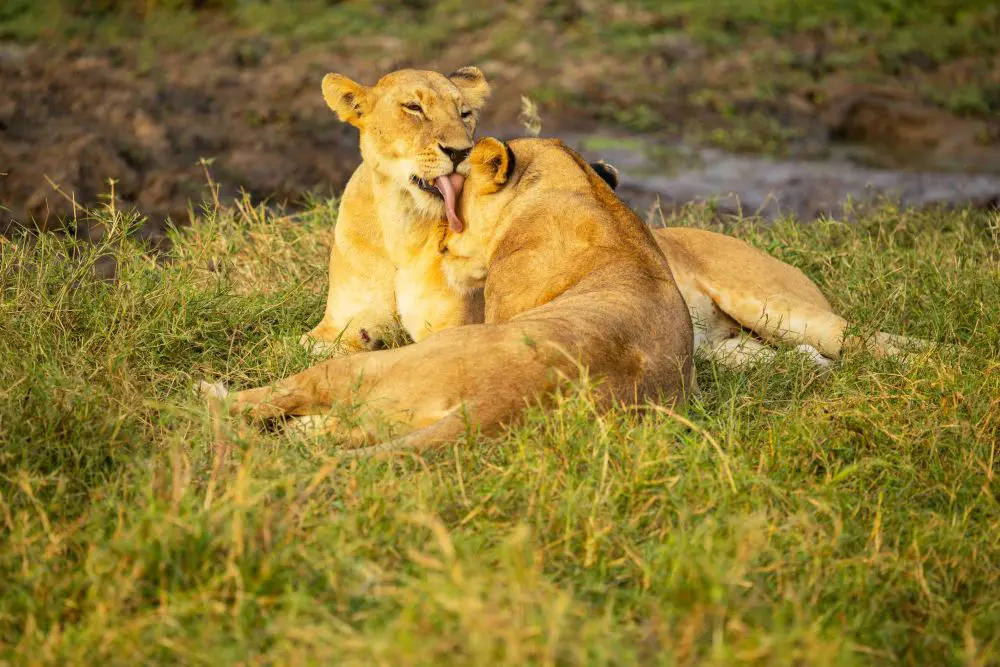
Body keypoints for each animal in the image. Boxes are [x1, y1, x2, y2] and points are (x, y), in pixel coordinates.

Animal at [202, 137, 696, 455]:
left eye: (453, 197)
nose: (439, 235)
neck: (582, 188)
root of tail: (495, 404)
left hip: (374, 365)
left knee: (294, 390)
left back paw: (211, 394)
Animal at [301, 67, 491, 352]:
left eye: (464, 113)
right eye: (414, 107)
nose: (461, 152)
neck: (400, 225)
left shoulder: (454, 327)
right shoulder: (333, 326)